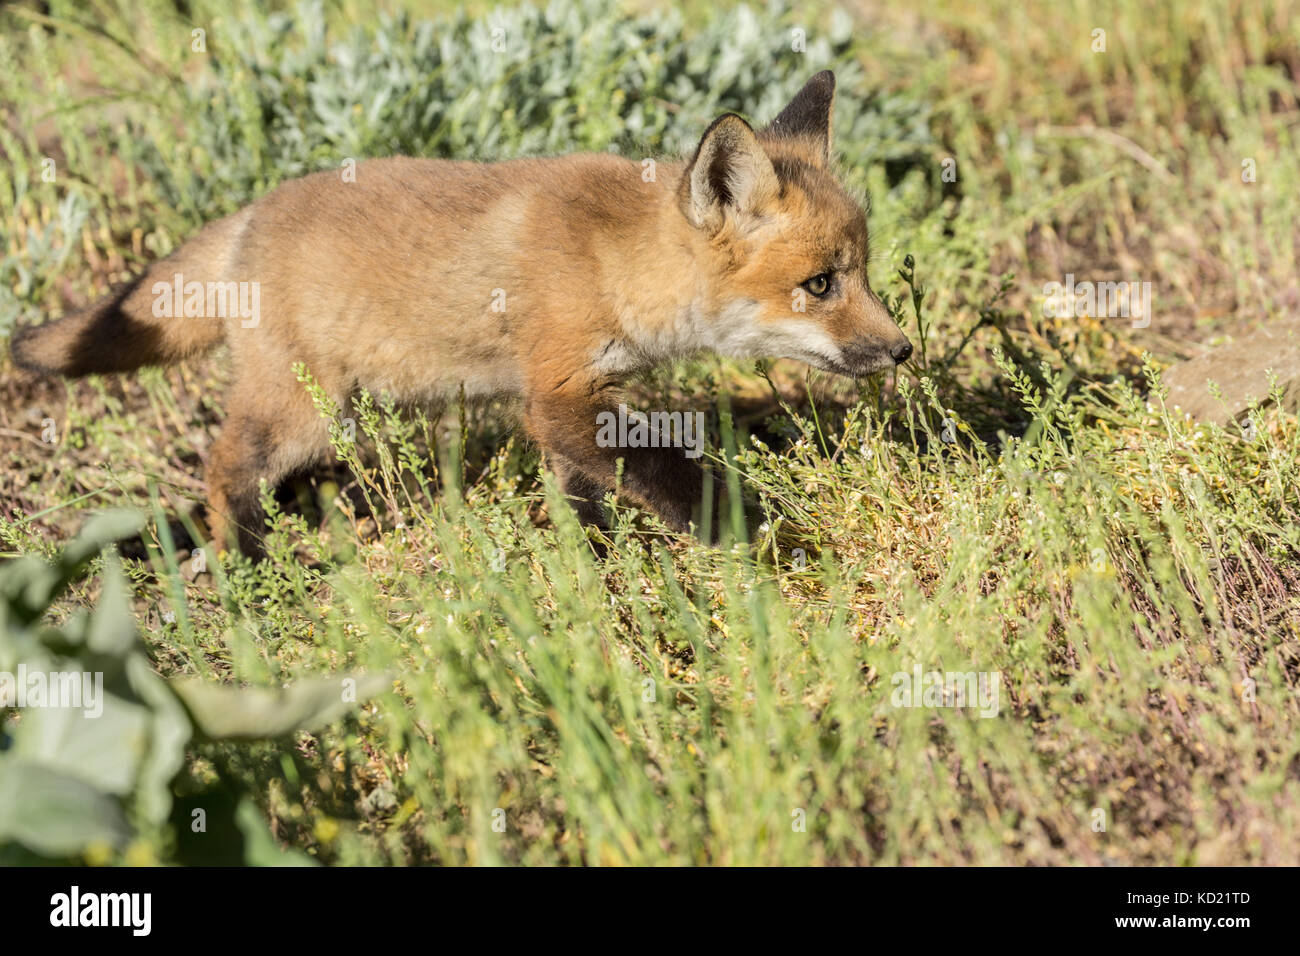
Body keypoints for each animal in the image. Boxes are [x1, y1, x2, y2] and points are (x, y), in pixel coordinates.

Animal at [17, 70, 915, 556]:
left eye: (860, 274)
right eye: (822, 284)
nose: (904, 350)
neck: (616, 264)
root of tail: (249, 214)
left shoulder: (574, 404)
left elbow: (584, 495)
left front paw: (595, 563)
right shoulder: (559, 392)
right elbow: (669, 473)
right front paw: (740, 531)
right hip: (300, 411)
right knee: (223, 467)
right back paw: (243, 560)